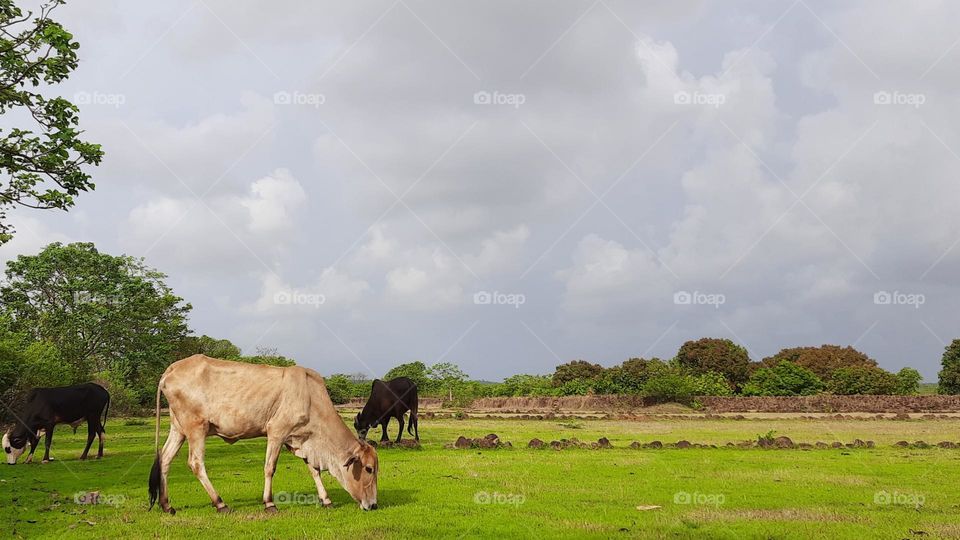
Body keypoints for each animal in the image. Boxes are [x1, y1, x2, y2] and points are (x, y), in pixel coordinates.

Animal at [148, 354, 376, 516]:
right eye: (369, 469)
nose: (373, 505)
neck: (311, 397)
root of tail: (171, 370)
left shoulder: (300, 440)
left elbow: (314, 470)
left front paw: (326, 500)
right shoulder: (277, 432)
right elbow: (269, 468)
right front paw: (269, 503)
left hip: (178, 429)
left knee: (165, 459)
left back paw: (166, 505)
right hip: (197, 428)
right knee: (195, 463)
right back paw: (220, 503)